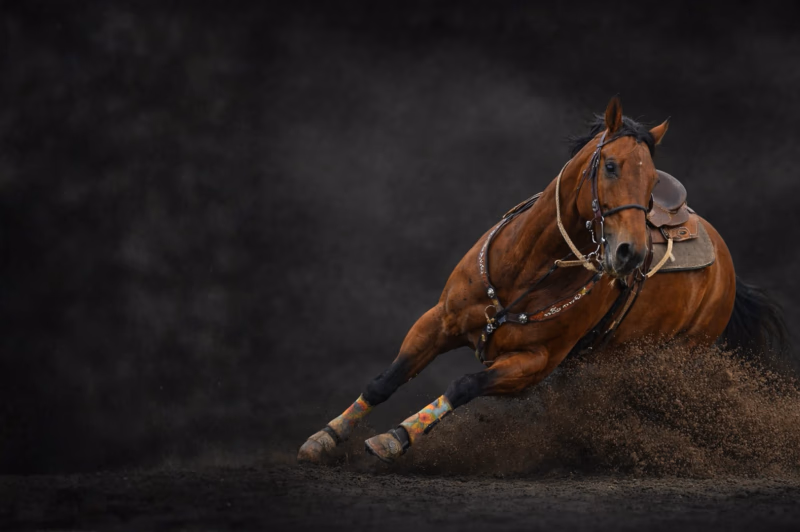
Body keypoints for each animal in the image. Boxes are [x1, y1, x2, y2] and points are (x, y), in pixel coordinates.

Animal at [297, 97, 788, 464]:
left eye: (652, 183)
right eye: (611, 166)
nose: (631, 254)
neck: (526, 268)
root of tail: (726, 267)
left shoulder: (532, 364)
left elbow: (463, 386)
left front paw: (393, 439)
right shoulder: (439, 321)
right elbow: (385, 380)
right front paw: (323, 439)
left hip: (682, 351)